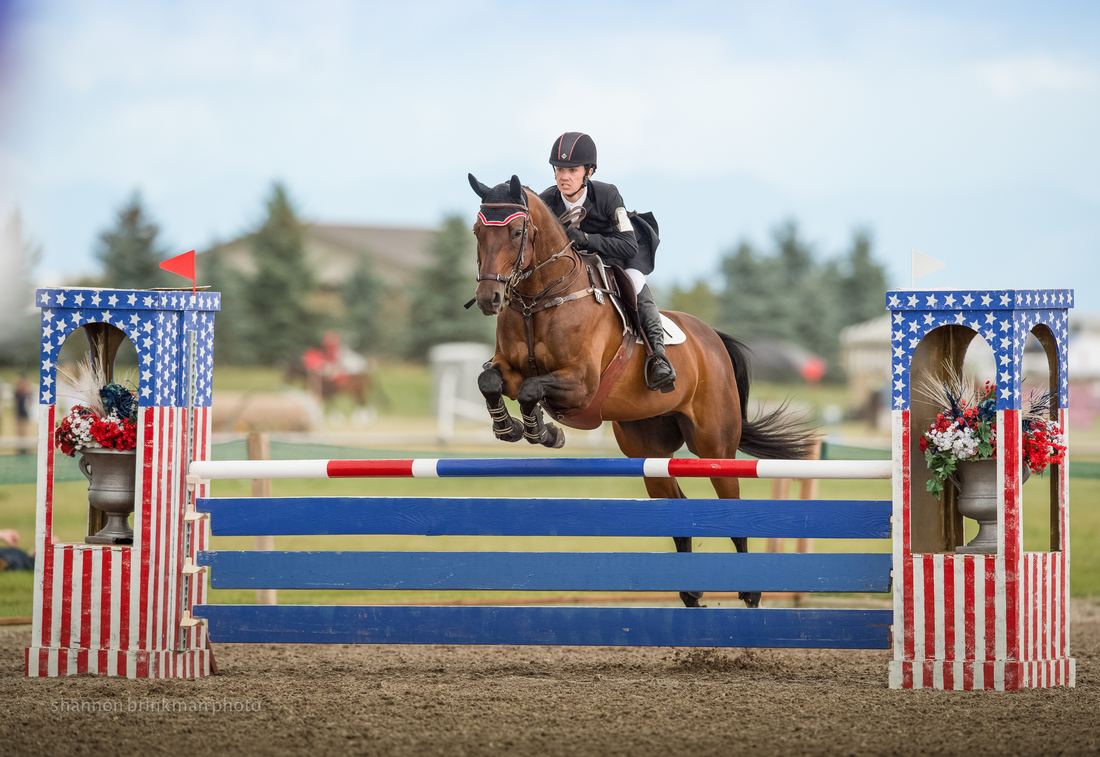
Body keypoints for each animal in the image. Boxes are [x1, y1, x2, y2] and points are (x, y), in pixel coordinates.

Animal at [468, 174, 817, 608]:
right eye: (477, 231)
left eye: (516, 232)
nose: (489, 299)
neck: (539, 298)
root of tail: (712, 339)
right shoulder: (509, 369)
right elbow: (491, 382)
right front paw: (513, 428)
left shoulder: (581, 384)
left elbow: (533, 390)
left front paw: (542, 431)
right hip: (648, 449)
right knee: (676, 508)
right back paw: (690, 593)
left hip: (714, 447)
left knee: (731, 508)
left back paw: (750, 592)